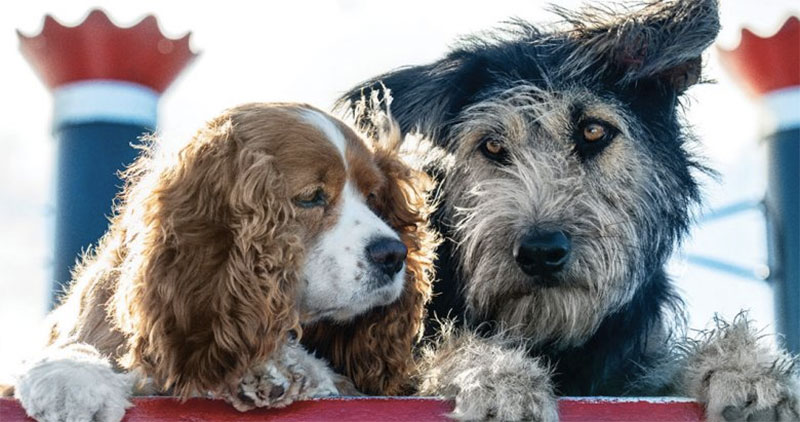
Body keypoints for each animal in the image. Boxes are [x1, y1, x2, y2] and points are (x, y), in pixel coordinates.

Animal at [3, 103, 434, 422]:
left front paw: (276, 369)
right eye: (311, 196)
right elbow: (74, 346)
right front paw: (70, 378)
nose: (393, 254)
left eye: (374, 197)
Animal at [340, 0, 796, 422]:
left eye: (593, 131)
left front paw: (747, 372)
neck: (549, 334)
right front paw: (499, 380)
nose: (540, 251)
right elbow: (441, 349)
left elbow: (665, 367)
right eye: (492, 145)